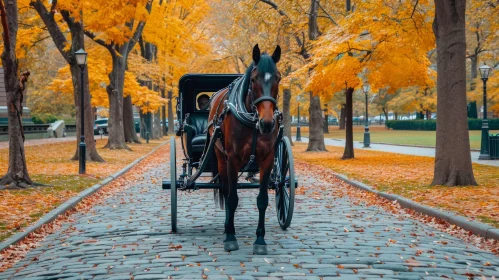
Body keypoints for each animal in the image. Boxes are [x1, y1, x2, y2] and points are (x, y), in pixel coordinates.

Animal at [207, 44, 284, 256]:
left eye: (278, 77)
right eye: (254, 79)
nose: (267, 123)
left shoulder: (268, 159)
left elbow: (262, 200)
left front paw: (260, 240)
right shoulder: (232, 159)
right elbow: (232, 198)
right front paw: (230, 238)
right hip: (221, 158)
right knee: (226, 190)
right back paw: (227, 228)